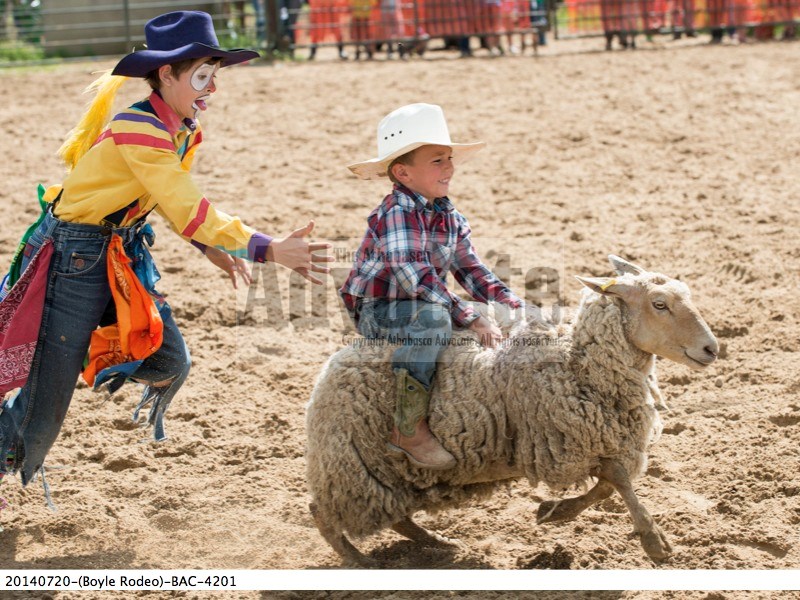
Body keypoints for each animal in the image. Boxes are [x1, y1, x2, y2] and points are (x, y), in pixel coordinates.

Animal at [304, 255, 720, 564]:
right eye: (659, 304)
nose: (712, 349)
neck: (578, 363)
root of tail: (329, 370)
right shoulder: (568, 440)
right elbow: (617, 479)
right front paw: (654, 541)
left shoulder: (597, 440)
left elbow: (606, 486)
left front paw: (554, 511)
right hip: (352, 466)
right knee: (322, 513)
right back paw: (361, 561)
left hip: (390, 474)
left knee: (397, 516)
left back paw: (437, 541)